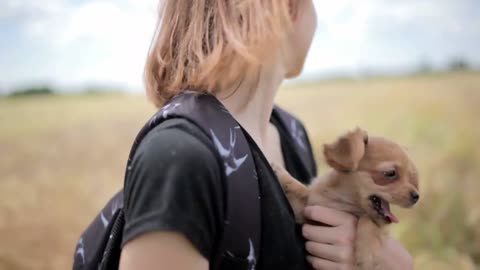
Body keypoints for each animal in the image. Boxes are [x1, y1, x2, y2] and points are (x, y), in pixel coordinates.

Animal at [274, 127, 420, 268]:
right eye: (390, 173)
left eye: (410, 176)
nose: (416, 196)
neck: (343, 201)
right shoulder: (305, 209)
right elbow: (300, 190)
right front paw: (279, 171)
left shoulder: (380, 224)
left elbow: (368, 219)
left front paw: (367, 254)